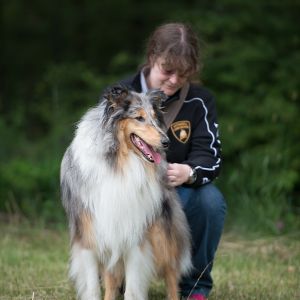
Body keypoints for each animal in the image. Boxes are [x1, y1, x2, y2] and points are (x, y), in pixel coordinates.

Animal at [60, 85, 191, 298]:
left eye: (155, 117)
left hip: (161, 237)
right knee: (112, 280)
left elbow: (132, 289)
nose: (166, 142)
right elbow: (93, 288)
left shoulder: (135, 235)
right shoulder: (90, 236)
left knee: (172, 273)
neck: (119, 162)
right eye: (139, 118)